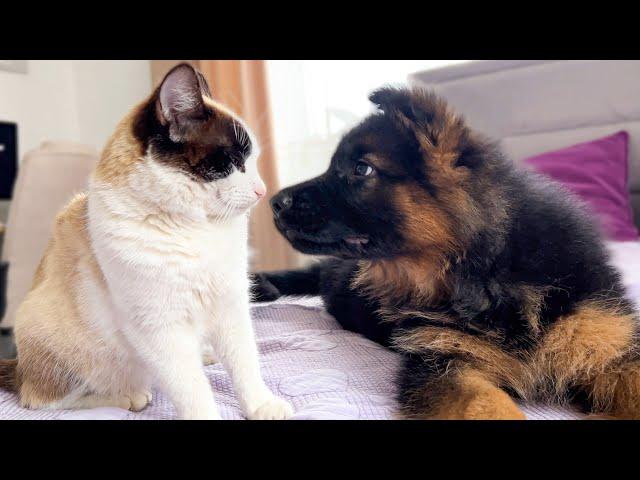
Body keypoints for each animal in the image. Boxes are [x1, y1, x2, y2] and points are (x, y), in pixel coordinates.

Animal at [0, 63, 294, 420]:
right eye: (232, 161)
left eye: (252, 162)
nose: (262, 190)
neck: (196, 229)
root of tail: (18, 368)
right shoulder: (159, 329)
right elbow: (193, 389)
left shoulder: (230, 305)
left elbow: (245, 364)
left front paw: (261, 404)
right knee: (45, 400)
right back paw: (129, 396)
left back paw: (204, 354)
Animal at [254, 87, 640, 420]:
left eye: (361, 169)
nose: (272, 202)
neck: (487, 268)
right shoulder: (446, 362)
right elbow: (489, 406)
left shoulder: (611, 346)